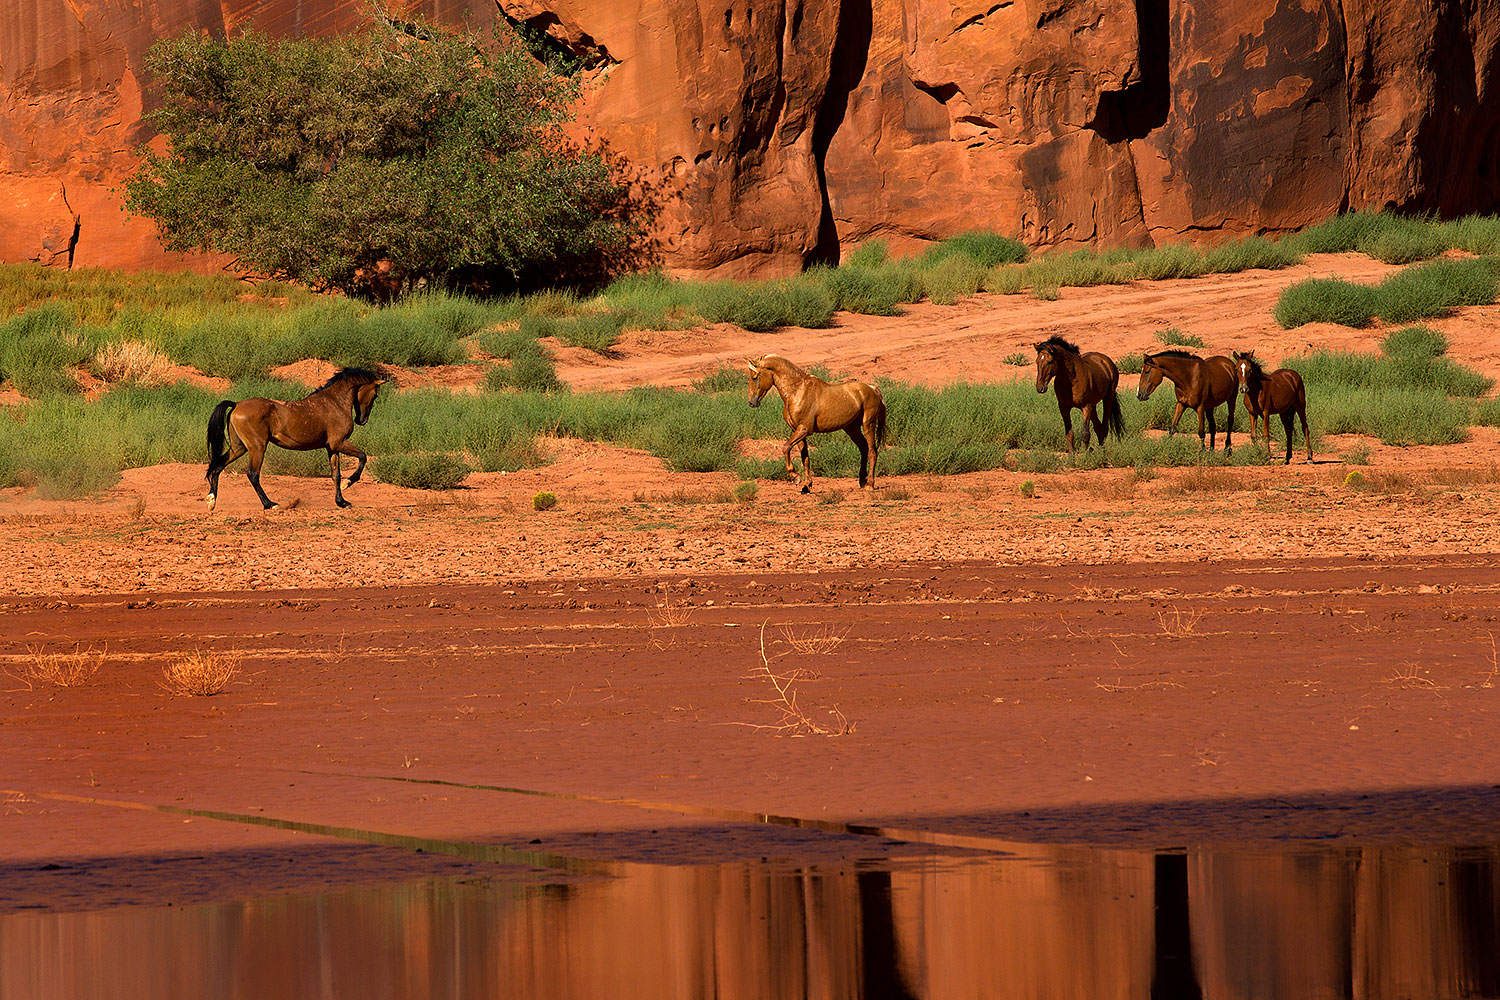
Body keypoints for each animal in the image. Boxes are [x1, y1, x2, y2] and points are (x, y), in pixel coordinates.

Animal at [205, 367, 386, 510]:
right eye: (375, 395)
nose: (362, 420)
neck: (334, 403)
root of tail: (236, 404)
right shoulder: (339, 443)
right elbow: (363, 457)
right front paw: (348, 483)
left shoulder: (332, 447)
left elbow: (336, 474)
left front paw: (342, 502)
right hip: (257, 447)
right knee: (252, 474)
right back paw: (270, 504)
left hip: (239, 447)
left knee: (217, 466)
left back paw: (211, 500)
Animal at [746, 354, 887, 493]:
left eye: (755, 377)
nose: (751, 402)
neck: (797, 391)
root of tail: (873, 389)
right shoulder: (797, 431)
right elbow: (805, 458)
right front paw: (807, 486)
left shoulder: (804, 429)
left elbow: (786, 448)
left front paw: (795, 476)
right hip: (852, 429)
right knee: (863, 448)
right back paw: (862, 481)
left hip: (868, 425)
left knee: (872, 451)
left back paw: (870, 484)